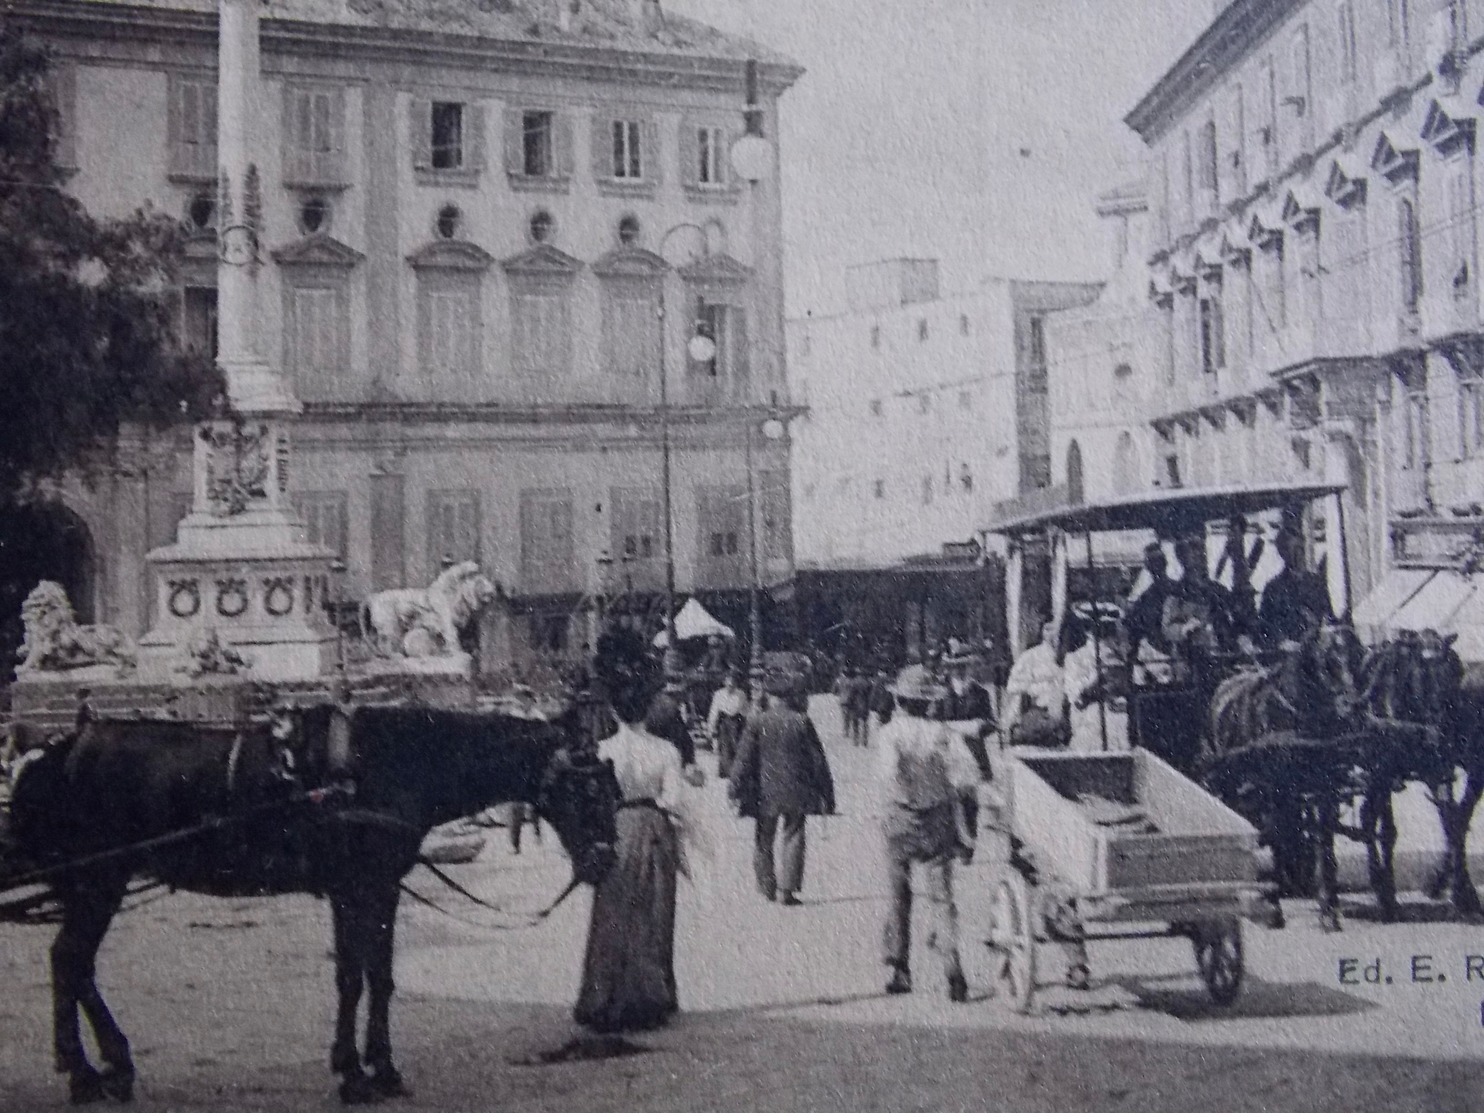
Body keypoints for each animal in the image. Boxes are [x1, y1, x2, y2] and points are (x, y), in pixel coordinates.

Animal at [5, 700, 620, 1103]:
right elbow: (351, 977)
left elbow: (380, 976)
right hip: (98, 882)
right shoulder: (353, 889)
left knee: (74, 964)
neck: (388, 764)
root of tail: (60, 749)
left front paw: (381, 1066)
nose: (605, 862)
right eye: (584, 789)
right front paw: (352, 1072)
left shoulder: (380, 889)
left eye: (612, 790)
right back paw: (86, 1070)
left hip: (96, 884)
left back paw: (108, 1062)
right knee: (71, 959)